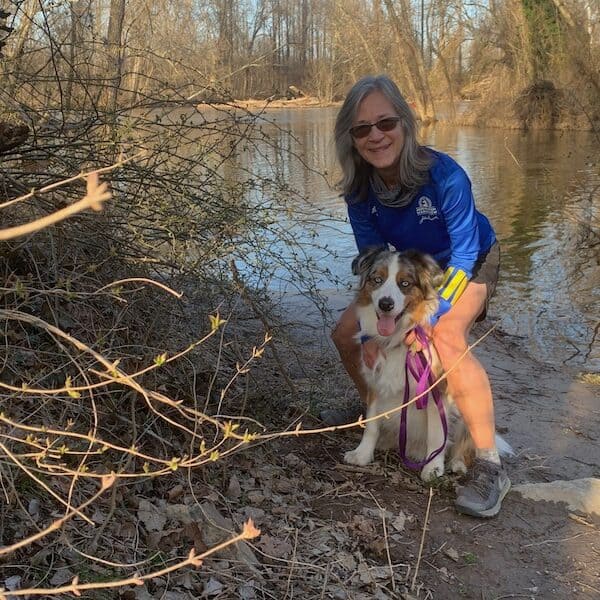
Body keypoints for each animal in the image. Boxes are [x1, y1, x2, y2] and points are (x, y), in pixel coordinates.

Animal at [342, 246, 474, 480]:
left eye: (405, 283)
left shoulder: (436, 389)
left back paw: (457, 463)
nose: (386, 304)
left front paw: (433, 468)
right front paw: (362, 454)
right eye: (377, 279)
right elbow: (371, 425)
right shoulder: (376, 382)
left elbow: (437, 435)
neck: (399, 339)